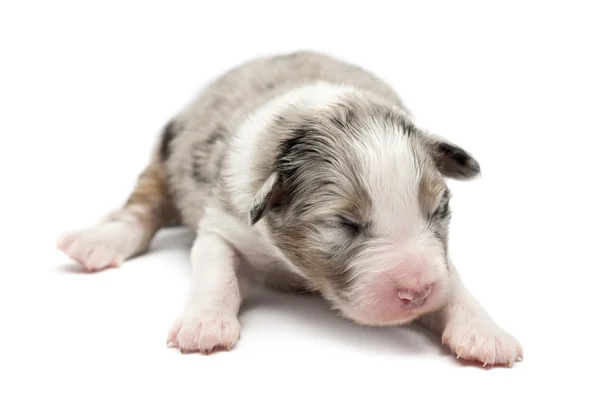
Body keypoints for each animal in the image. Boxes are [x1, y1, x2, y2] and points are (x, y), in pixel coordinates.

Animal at [58, 50, 524, 366]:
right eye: (345, 223)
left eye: (438, 211)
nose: (418, 291)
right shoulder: (223, 222)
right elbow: (216, 271)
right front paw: (205, 324)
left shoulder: (438, 259)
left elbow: (454, 283)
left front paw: (485, 332)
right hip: (165, 157)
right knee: (144, 204)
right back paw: (98, 241)